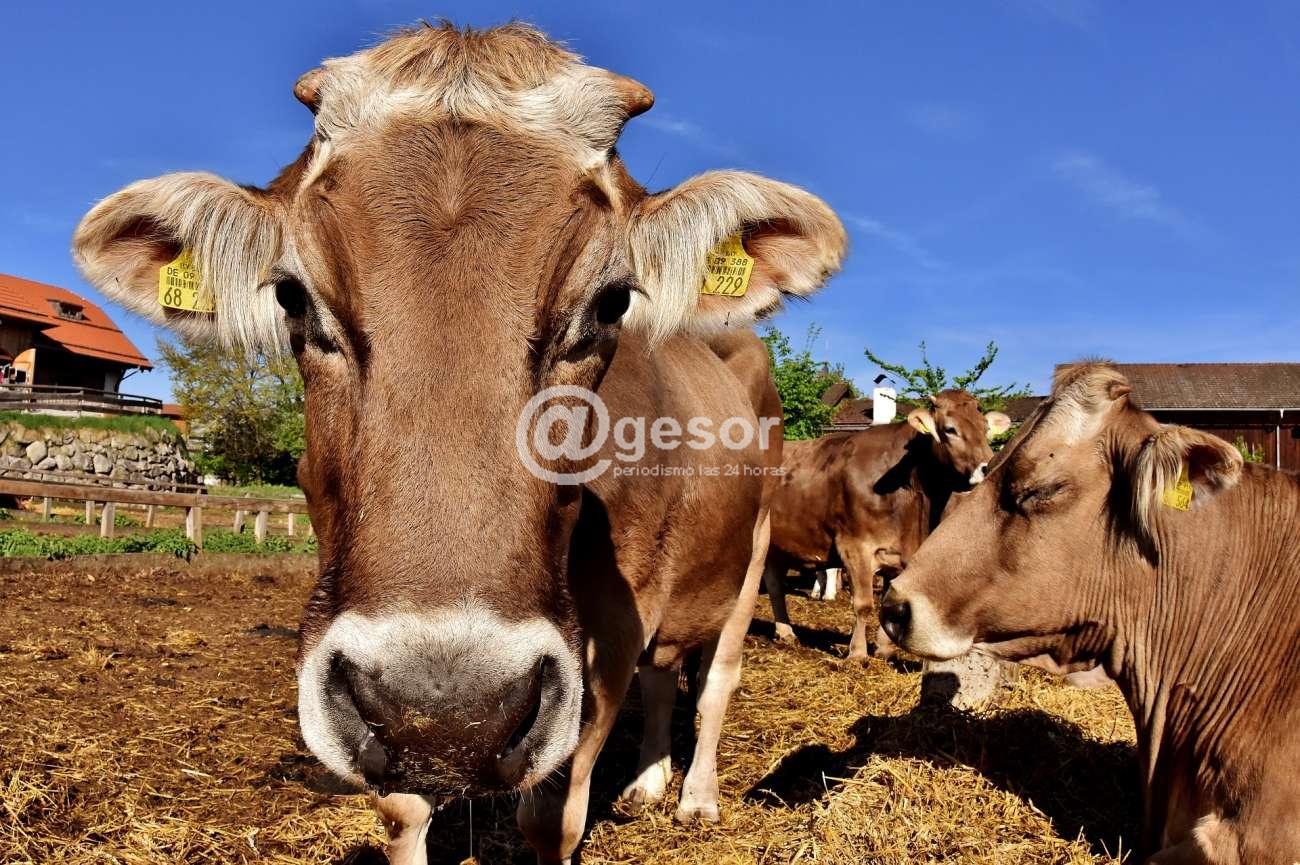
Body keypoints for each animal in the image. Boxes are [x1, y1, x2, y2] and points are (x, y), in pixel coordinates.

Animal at [71, 23, 846, 865]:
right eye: (292, 296)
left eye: (611, 303)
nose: (447, 706)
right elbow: (402, 809)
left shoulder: (609, 631)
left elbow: (553, 816)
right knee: (666, 675)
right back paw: (647, 781)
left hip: (754, 549)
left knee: (718, 677)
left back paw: (697, 795)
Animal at [764, 390, 1009, 659]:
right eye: (950, 429)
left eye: (986, 429)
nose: (989, 467)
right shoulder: (855, 546)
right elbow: (863, 604)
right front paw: (857, 654)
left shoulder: (900, 554)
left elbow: (887, 603)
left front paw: (884, 650)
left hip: (775, 546)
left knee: (774, 585)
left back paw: (786, 632)